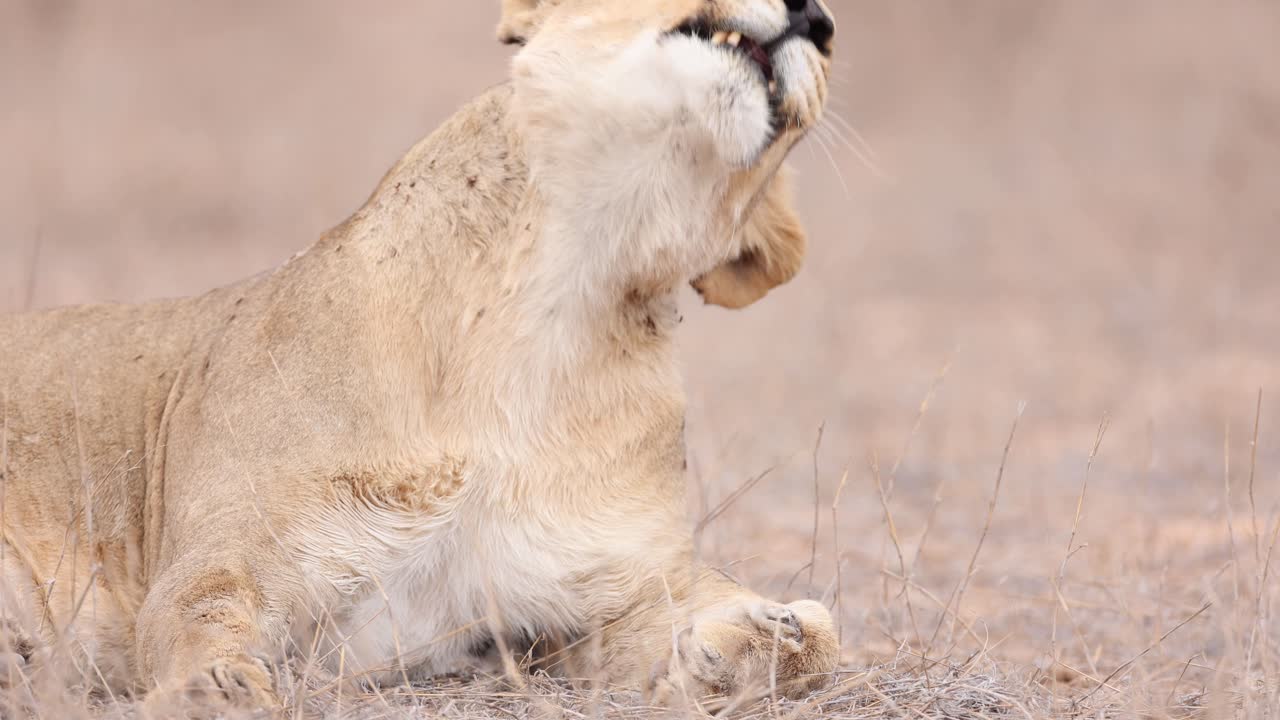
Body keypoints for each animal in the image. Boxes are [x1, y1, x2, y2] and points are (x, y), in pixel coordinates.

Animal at [0, 0, 838, 711]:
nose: (823, 20)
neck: (558, 302)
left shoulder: (598, 591)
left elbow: (818, 641)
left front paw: (752, 642)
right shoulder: (227, 554)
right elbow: (198, 613)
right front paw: (220, 689)